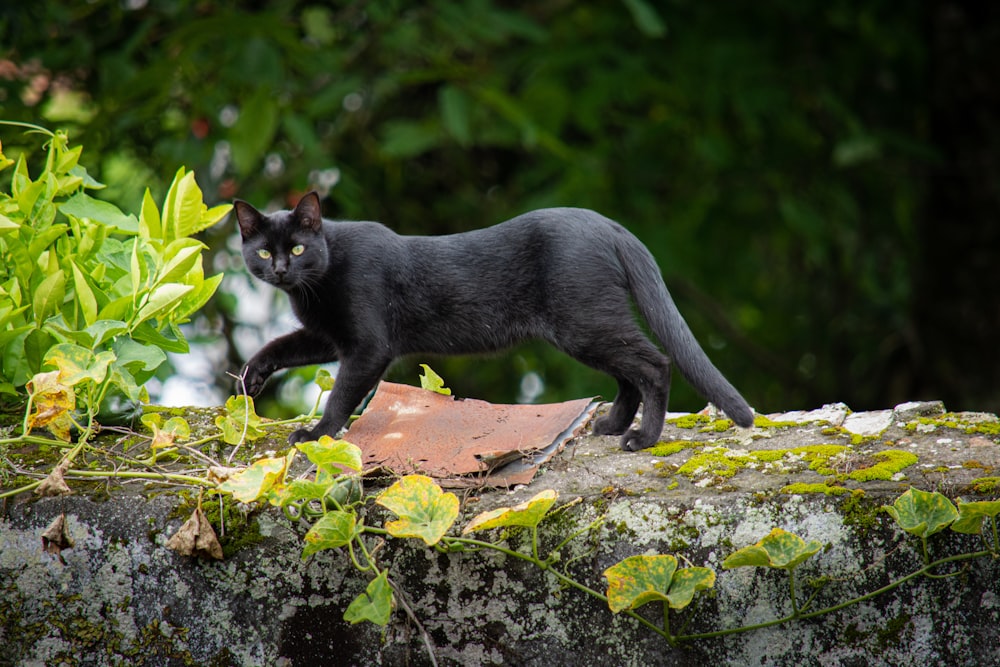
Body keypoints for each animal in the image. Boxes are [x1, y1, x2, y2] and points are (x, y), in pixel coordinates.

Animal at [234, 194, 752, 454]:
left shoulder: (367, 346)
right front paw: (250, 377)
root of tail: (608, 224)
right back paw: (610, 425)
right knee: (630, 373)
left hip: (584, 322)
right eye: (263, 252)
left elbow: (342, 394)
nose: (281, 269)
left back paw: (642, 439)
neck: (312, 287)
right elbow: (280, 345)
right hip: (591, 324)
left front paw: (316, 434)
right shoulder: (327, 336)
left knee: (654, 364)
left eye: (298, 248)